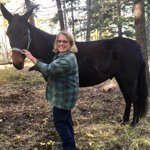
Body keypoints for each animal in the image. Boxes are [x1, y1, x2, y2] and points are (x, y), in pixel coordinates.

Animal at [0, 3, 148, 125]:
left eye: (25, 33)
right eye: (7, 34)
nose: (17, 63)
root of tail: (138, 47)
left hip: (128, 80)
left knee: (135, 98)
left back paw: (133, 123)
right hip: (121, 79)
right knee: (128, 98)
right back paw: (124, 120)